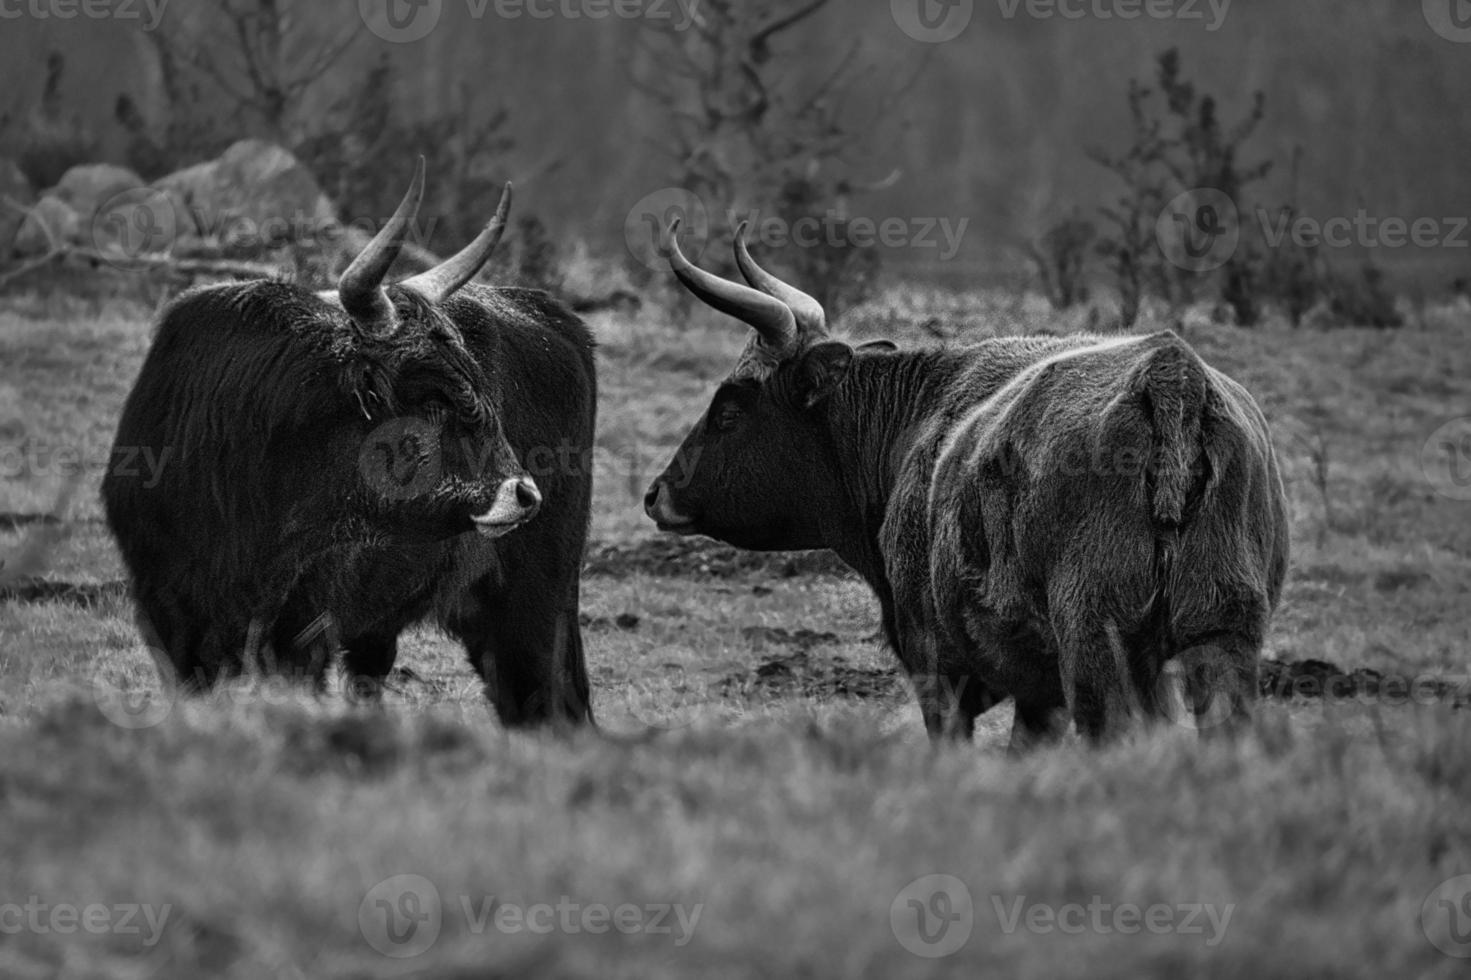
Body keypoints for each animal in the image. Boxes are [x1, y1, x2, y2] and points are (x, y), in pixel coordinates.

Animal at [102, 161, 597, 723]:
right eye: (433, 397)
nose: (525, 494)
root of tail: (554, 315)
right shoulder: (171, 623)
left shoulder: (302, 632)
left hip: (536, 605)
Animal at [644, 219, 1288, 741]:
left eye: (730, 410)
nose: (657, 493)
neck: (917, 418)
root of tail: (1169, 373)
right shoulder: (1040, 696)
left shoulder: (938, 669)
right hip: (1221, 635)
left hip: (1097, 637)